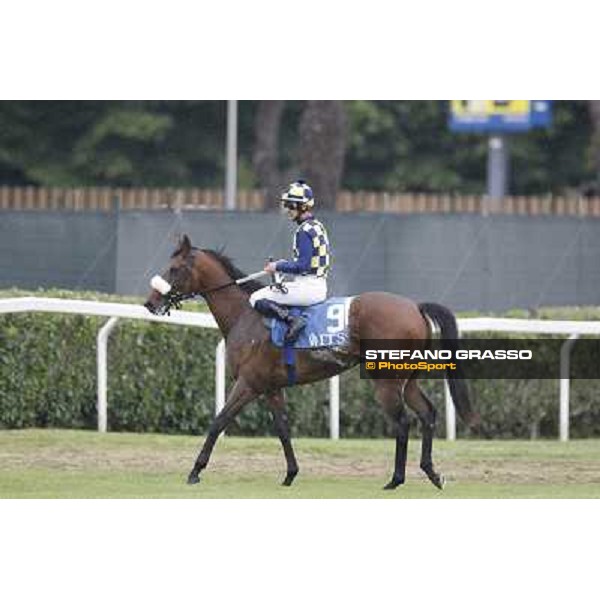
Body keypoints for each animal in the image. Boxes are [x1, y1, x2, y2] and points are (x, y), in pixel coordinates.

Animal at [144, 232, 478, 490]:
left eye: (174, 268)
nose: (150, 302)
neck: (246, 316)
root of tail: (415, 307)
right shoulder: (271, 388)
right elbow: (282, 428)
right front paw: (290, 474)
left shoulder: (248, 384)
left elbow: (218, 421)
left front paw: (195, 471)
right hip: (406, 379)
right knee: (427, 413)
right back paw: (432, 473)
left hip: (385, 380)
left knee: (403, 421)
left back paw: (396, 479)